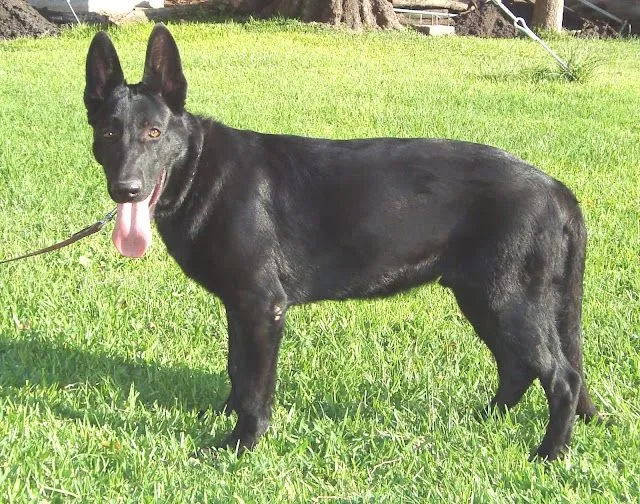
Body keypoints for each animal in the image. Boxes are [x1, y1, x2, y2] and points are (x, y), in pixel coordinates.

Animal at [84, 24, 600, 460]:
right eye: (109, 132)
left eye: (154, 133)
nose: (126, 190)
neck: (200, 169)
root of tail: (558, 190)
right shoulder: (240, 305)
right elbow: (237, 368)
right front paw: (224, 416)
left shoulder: (262, 307)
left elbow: (256, 387)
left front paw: (240, 443)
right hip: (482, 298)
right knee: (518, 369)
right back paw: (481, 420)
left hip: (505, 300)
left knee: (562, 378)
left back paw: (549, 453)